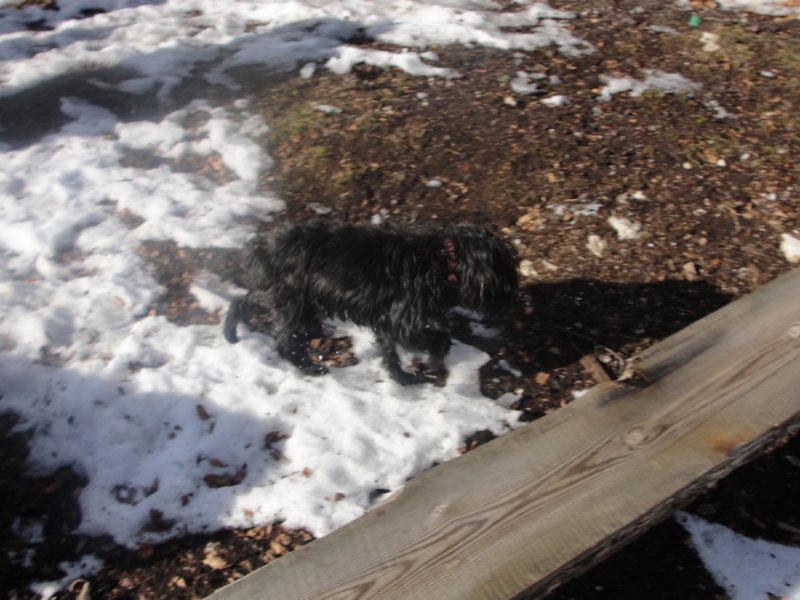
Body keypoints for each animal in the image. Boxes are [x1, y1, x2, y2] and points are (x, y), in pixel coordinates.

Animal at [224, 221, 518, 385]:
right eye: (505, 274)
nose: (514, 295)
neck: (444, 263)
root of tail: (259, 245)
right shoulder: (403, 322)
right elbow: (441, 341)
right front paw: (433, 366)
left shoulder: (387, 322)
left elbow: (389, 355)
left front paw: (404, 380)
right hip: (290, 299)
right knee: (284, 342)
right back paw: (308, 366)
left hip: (286, 297)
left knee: (245, 300)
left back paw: (231, 329)